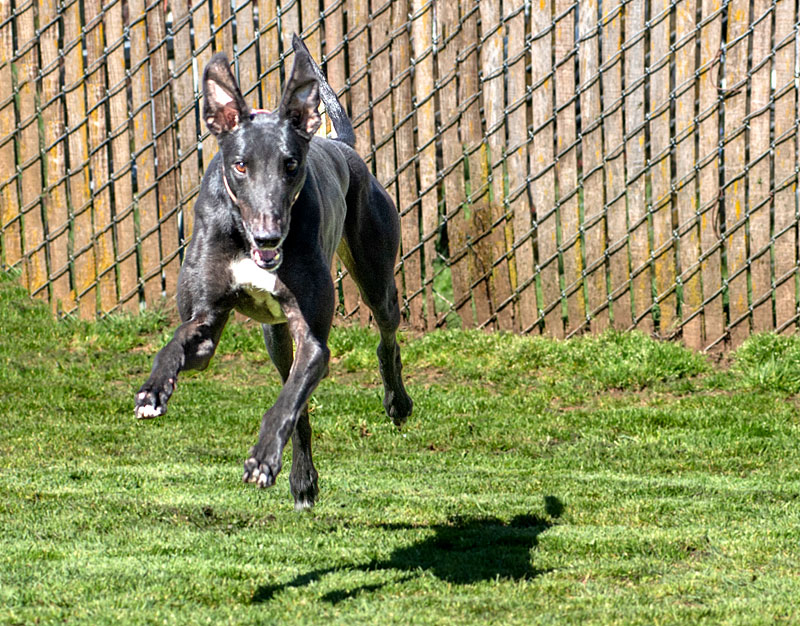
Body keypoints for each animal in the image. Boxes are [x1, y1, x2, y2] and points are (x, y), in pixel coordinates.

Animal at [134, 35, 412, 508]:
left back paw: (396, 403)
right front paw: (154, 389)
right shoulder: (205, 328)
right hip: (274, 335)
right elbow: (174, 345)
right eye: (240, 165)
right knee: (297, 401)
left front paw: (263, 458)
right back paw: (303, 479)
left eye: (290, 165)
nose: (268, 238)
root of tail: (343, 145)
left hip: (376, 277)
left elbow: (286, 402)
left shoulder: (313, 340)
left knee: (383, 336)